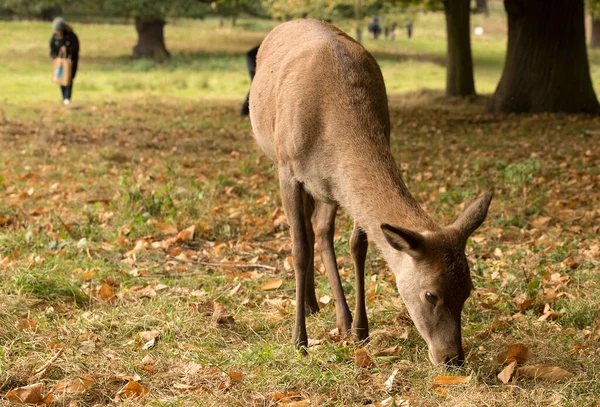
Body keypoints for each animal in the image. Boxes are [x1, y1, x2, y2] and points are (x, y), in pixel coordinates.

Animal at [248, 19, 492, 364]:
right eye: (430, 293)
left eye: (468, 290)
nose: (452, 357)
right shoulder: (288, 170)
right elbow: (298, 250)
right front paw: (299, 341)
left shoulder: (342, 183)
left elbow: (357, 246)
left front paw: (360, 331)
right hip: (281, 159)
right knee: (307, 232)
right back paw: (310, 307)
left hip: (329, 190)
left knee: (321, 228)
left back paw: (335, 315)